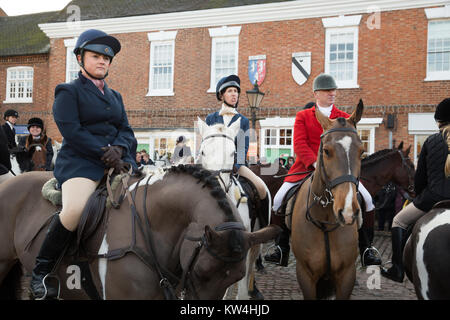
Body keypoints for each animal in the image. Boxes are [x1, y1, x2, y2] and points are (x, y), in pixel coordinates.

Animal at [288, 100, 366, 300]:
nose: (347, 212)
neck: (325, 219)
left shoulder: (347, 275)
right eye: (326, 151)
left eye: (362, 152)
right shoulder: (305, 275)